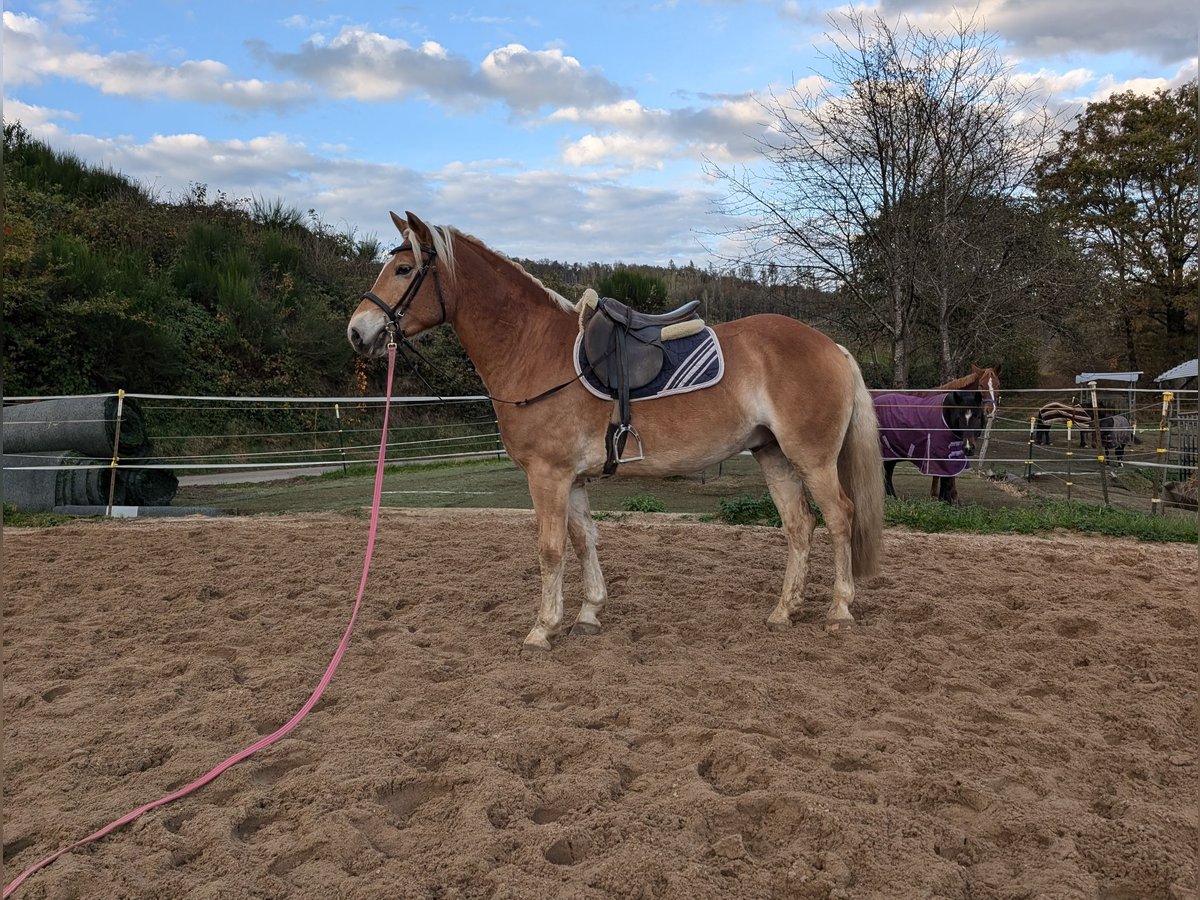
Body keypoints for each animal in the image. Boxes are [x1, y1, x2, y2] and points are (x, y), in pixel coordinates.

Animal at [343, 211, 888, 648]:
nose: (357, 331)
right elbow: (585, 540)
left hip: (812, 458)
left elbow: (551, 550)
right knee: (799, 525)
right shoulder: (572, 479)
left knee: (839, 517)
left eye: (405, 269)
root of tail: (831, 346)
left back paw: (839, 608)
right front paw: (588, 614)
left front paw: (542, 629)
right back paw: (783, 611)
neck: (533, 351)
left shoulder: (548, 477)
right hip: (773, 455)